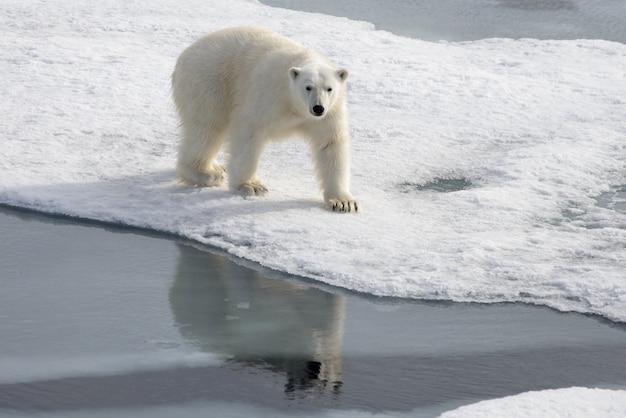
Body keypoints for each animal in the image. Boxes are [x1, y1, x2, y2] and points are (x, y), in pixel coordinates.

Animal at [171, 27, 356, 212]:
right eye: (308, 87)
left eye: (329, 88)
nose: (318, 108)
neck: (294, 104)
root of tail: (187, 52)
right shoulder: (269, 93)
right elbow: (248, 129)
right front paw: (251, 186)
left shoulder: (330, 114)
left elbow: (330, 144)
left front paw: (343, 202)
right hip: (209, 81)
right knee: (207, 127)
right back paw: (206, 173)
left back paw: (217, 167)